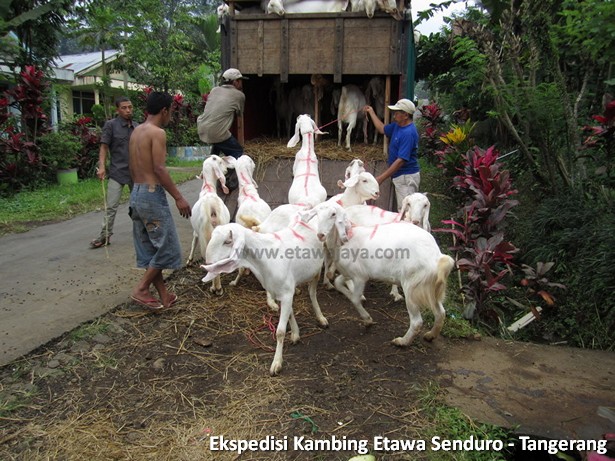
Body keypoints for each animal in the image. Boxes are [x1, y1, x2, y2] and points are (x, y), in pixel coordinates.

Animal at [186, 153, 237, 292]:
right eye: (220, 162)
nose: (226, 171)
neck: (208, 188)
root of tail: (212, 206)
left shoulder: (196, 231)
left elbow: (193, 242)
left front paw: (189, 261)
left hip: (205, 232)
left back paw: (216, 288)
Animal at [201, 218, 328, 374]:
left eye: (227, 241)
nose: (208, 262)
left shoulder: (286, 293)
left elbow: (280, 332)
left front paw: (276, 363)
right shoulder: (279, 291)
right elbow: (290, 313)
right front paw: (295, 334)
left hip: (317, 270)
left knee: (312, 292)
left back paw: (321, 318)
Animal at [310, 203, 454, 346]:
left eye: (333, 214)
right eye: (317, 214)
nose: (320, 235)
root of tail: (437, 257)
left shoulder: (360, 277)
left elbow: (355, 299)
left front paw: (367, 320)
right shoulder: (349, 273)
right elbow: (338, 283)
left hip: (412, 286)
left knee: (417, 321)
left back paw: (402, 341)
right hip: (431, 288)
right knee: (441, 312)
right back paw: (430, 335)